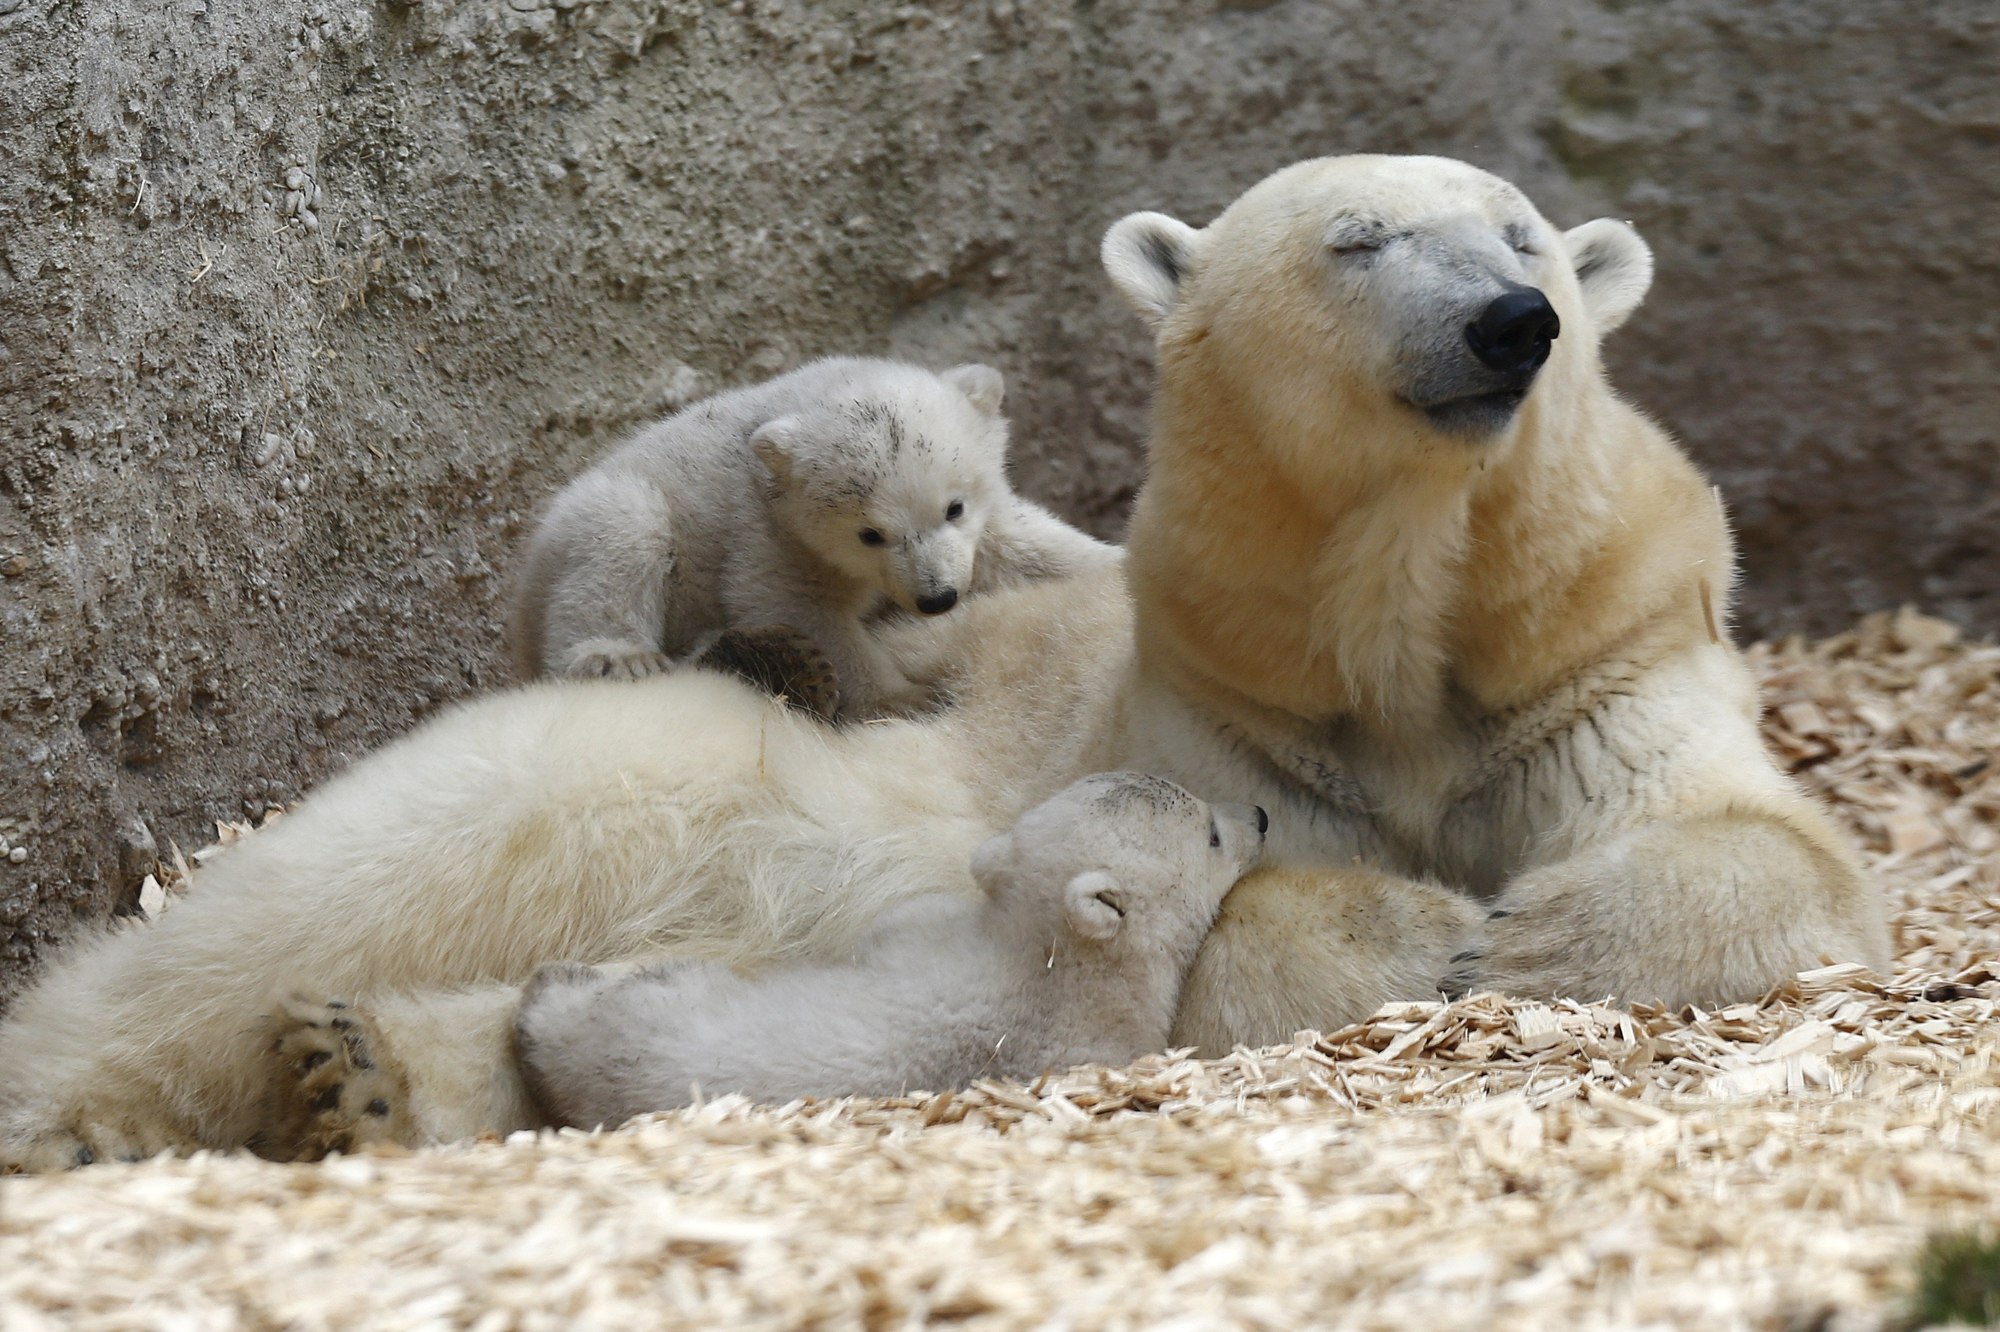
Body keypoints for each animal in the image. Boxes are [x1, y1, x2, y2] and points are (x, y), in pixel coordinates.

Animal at [508, 356, 1120, 716]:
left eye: (954, 507)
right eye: (869, 534)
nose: (938, 597)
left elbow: (1018, 545)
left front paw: (1111, 562)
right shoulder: (767, 529)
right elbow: (798, 605)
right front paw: (906, 697)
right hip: (586, 533)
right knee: (622, 532)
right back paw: (620, 657)